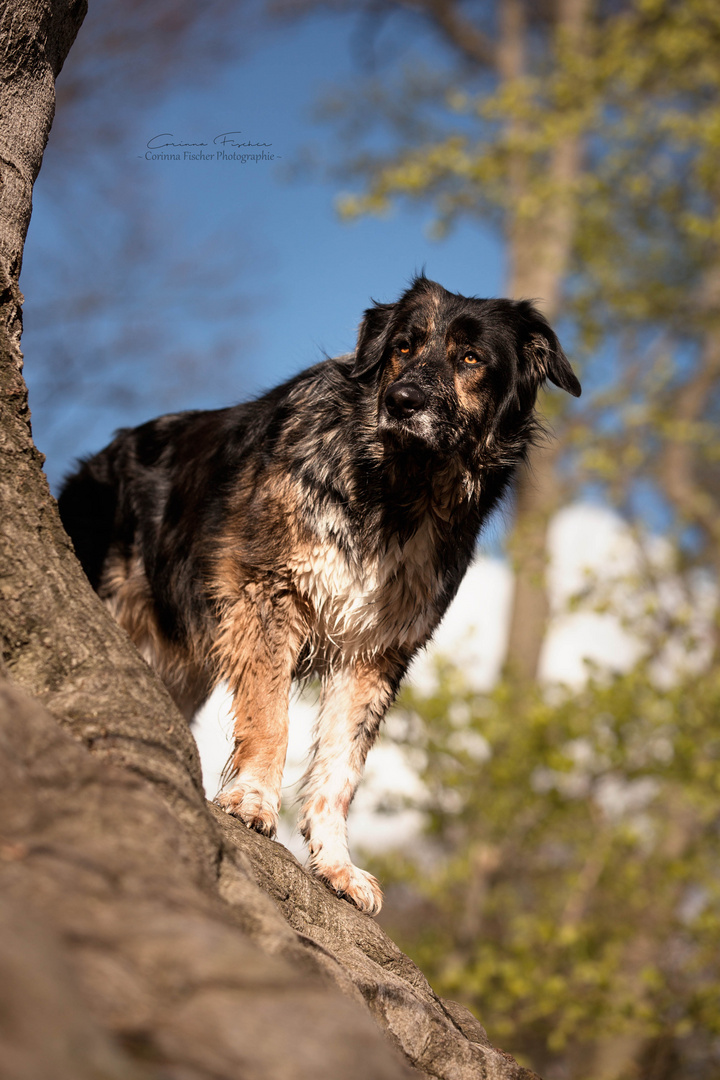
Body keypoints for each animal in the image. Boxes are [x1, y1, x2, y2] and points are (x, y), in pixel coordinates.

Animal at [59, 276, 582, 911]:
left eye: (470, 359)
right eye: (403, 348)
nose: (401, 401)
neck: (396, 491)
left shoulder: (375, 655)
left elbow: (341, 769)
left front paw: (336, 864)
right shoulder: (268, 595)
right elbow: (272, 718)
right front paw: (252, 800)